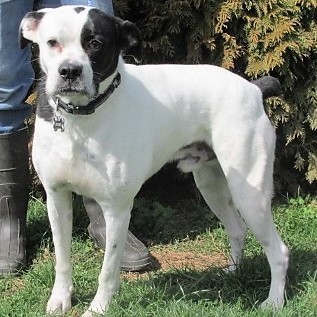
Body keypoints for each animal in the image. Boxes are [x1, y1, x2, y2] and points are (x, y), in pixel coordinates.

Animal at [18, 5, 288, 316]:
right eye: (52, 42)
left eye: (95, 43)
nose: (70, 71)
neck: (80, 121)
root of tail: (253, 89)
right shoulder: (57, 197)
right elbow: (62, 259)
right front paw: (60, 299)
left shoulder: (117, 209)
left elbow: (108, 271)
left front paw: (98, 308)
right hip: (212, 187)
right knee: (237, 229)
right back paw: (232, 272)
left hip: (249, 195)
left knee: (279, 251)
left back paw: (274, 301)